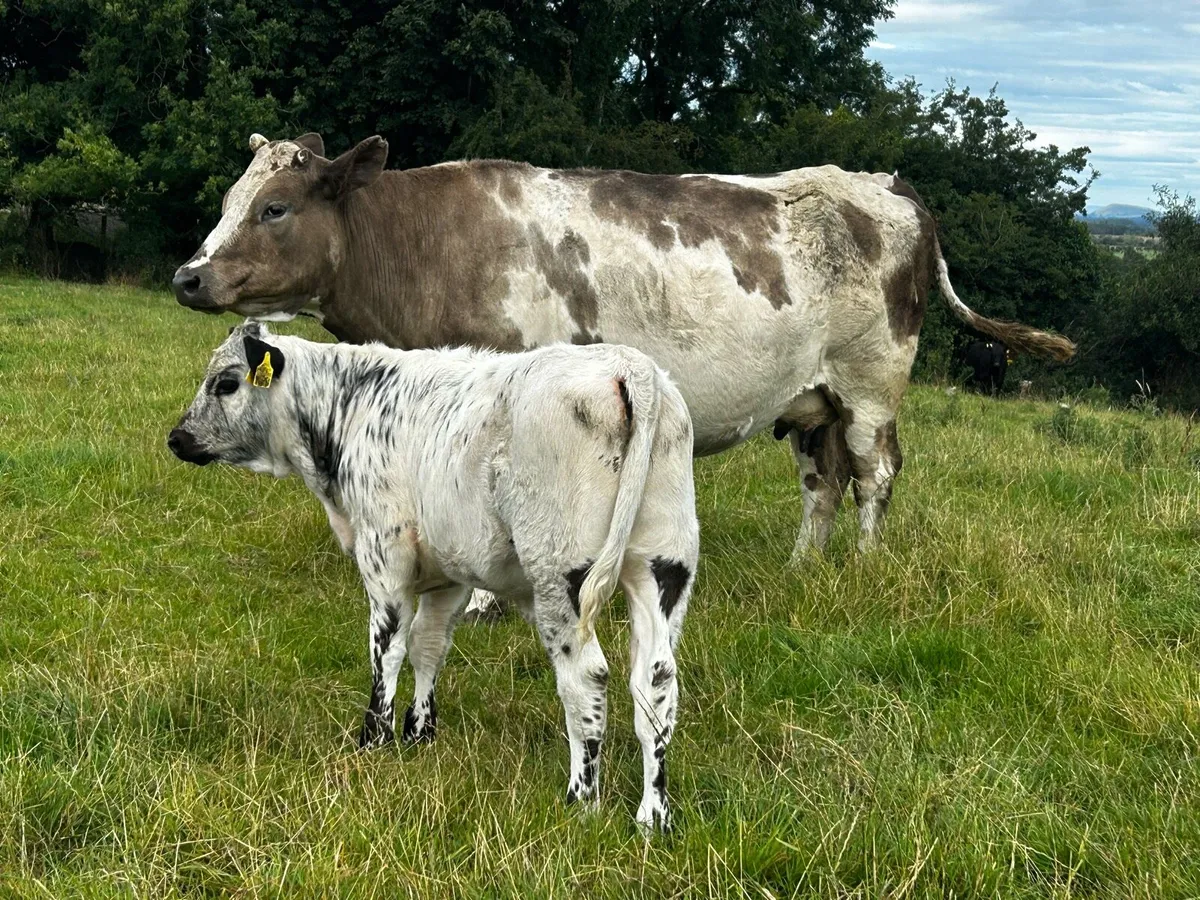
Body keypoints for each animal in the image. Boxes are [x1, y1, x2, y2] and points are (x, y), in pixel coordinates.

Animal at [167, 322, 699, 831]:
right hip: (662, 568)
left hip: (561, 575)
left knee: (586, 679)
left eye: (226, 383)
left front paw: (374, 738)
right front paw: (420, 730)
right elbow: (430, 645)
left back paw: (582, 800)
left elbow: (388, 648)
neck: (353, 404)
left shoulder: (384, 557)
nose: (177, 438)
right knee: (656, 684)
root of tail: (624, 365)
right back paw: (653, 815)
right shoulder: (449, 574)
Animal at [172, 132, 1075, 563]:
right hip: (810, 394)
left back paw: (861, 565)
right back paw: (801, 570)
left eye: (276, 208)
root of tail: (882, 182)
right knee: (822, 479)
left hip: (871, 382)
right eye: (229, 200)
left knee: (875, 474)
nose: (188, 275)